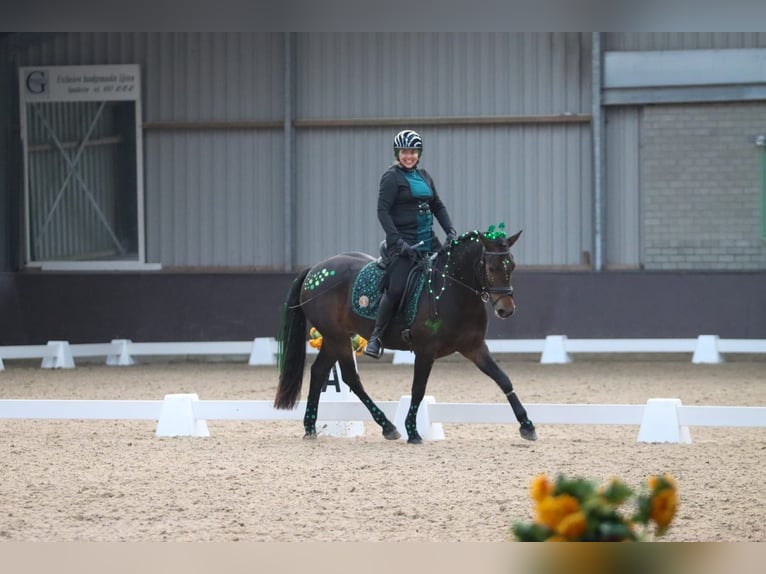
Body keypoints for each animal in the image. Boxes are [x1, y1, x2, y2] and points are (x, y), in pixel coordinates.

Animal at [278, 230, 540, 446]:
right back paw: (388, 426)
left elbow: (503, 379)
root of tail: (314, 269)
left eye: (511, 266)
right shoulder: (425, 351)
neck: (453, 291)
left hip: (335, 339)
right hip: (338, 337)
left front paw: (527, 426)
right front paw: (413, 432)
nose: (506, 309)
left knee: (319, 372)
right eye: (490, 267)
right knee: (351, 378)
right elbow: (418, 389)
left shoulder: (474, 347)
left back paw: (311, 427)